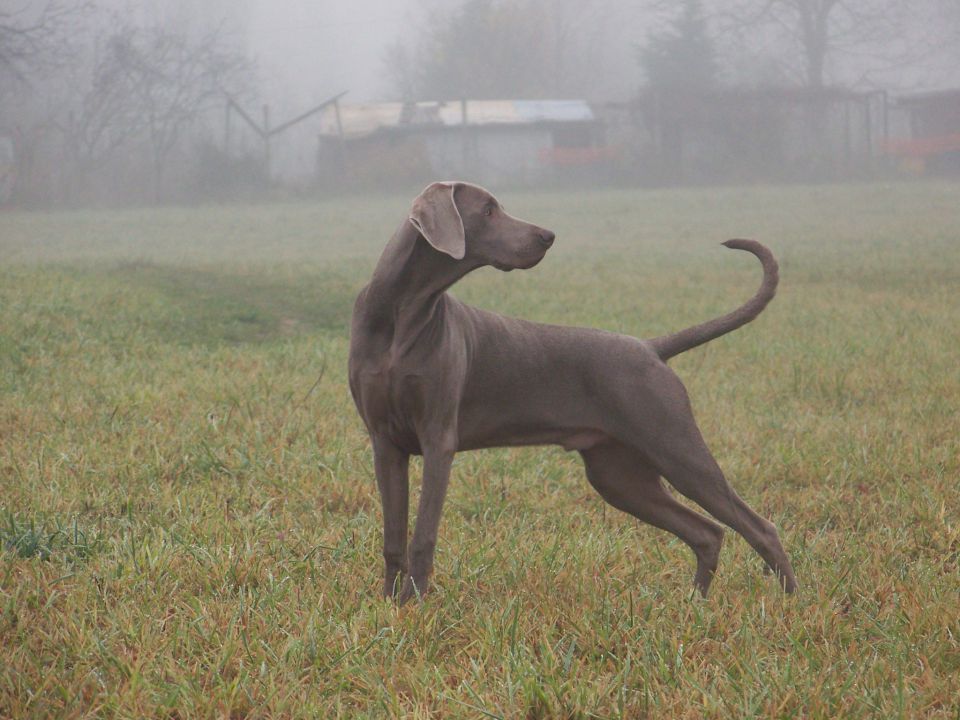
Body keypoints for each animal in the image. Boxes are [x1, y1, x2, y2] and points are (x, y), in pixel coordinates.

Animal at [348, 180, 800, 600]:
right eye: (489, 210)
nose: (548, 235)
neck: (403, 313)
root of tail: (650, 347)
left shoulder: (438, 438)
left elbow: (423, 535)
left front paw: (417, 604)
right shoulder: (385, 443)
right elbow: (394, 537)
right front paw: (391, 604)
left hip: (677, 448)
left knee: (760, 527)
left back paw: (791, 603)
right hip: (618, 474)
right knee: (707, 532)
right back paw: (696, 603)